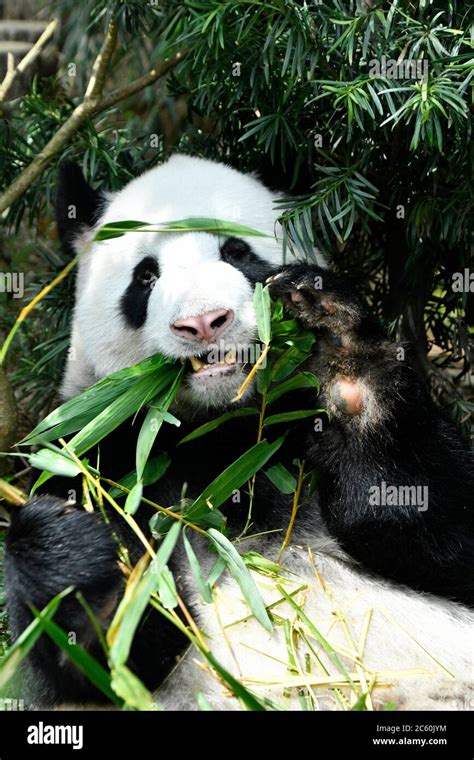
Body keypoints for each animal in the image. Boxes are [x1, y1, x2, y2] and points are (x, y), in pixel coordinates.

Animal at [4, 156, 474, 712]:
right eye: (146, 277)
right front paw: (68, 547)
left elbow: (440, 533)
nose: (205, 322)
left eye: (237, 251)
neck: (217, 433)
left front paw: (340, 348)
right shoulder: (99, 449)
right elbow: (102, 656)